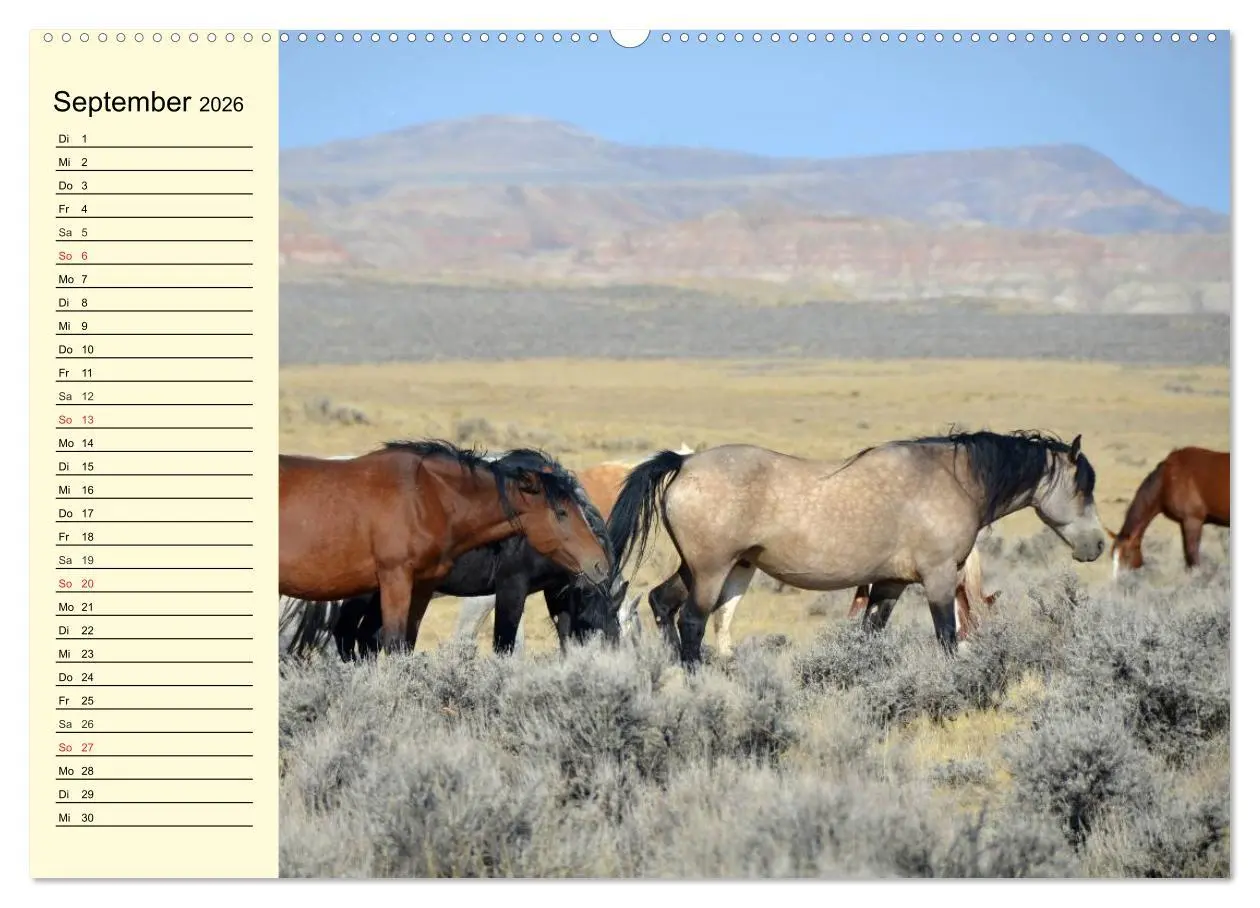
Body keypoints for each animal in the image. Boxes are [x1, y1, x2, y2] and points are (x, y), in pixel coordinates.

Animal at [279, 440, 611, 654]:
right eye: (561, 513)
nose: (599, 564)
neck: (425, 497)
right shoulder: (396, 580)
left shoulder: (423, 584)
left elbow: (406, 644)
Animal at [608, 430, 1105, 667]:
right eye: (1083, 487)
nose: (1098, 544)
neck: (952, 479)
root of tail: (684, 462)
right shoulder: (939, 578)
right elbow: (948, 636)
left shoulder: (889, 585)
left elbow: (870, 636)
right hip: (712, 571)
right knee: (692, 621)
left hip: (700, 568)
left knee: (662, 603)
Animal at [1108, 446, 1230, 578]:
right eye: (1112, 556)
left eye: (1127, 555)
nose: (1118, 580)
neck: (1167, 479)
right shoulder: (1184, 523)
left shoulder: (1193, 521)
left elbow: (1192, 557)